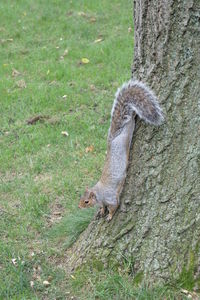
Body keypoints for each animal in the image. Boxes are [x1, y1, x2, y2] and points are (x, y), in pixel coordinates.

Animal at [78, 78, 164, 221]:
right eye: (81, 197)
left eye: (86, 201)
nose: (79, 206)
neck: (99, 193)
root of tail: (113, 139)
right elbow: (103, 206)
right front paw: (102, 211)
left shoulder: (111, 197)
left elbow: (114, 206)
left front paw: (109, 216)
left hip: (127, 135)